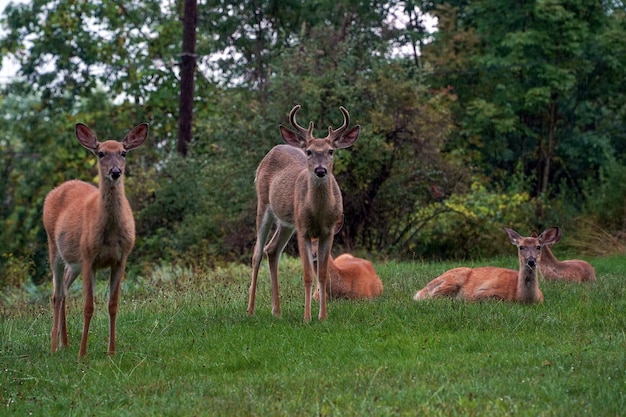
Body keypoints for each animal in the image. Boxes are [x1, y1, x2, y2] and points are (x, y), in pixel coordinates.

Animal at [43, 122, 148, 356]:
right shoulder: (89, 257)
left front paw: (112, 351)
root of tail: (56, 189)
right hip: (54, 247)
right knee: (57, 294)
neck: (109, 233)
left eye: (123, 152)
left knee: (63, 288)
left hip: (74, 262)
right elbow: (88, 306)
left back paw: (65, 343)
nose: (115, 172)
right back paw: (54, 347)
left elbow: (113, 304)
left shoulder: (121, 258)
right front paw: (82, 354)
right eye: (101, 153)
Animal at [246, 104, 358, 322]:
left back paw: (277, 311)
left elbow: (322, 274)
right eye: (309, 151)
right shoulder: (303, 230)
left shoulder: (328, 232)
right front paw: (307, 318)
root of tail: (273, 149)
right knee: (257, 253)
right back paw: (250, 309)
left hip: (287, 221)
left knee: (272, 249)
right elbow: (307, 275)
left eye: (331, 151)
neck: (319, 213)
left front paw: (323, 317)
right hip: (264, 205)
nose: (320, 170)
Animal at [412, 228, 560, 302]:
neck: (521, 297)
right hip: (452, 279)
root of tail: (420, 290)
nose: (531, 261)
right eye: (521, 247)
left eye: (539, 247)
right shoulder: (482, 292)